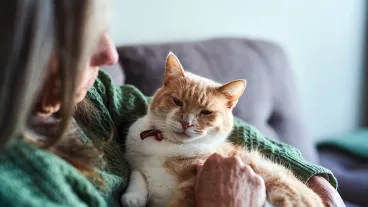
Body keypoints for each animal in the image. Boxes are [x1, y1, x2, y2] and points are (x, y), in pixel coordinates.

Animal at [121, 53, 322, 207]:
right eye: (177, 102)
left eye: (206, 112)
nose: (186, 123)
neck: (169, 146)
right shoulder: (135, 160)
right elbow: (138, 173)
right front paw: (134, 196)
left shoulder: (192, 184)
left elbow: (179, 202)